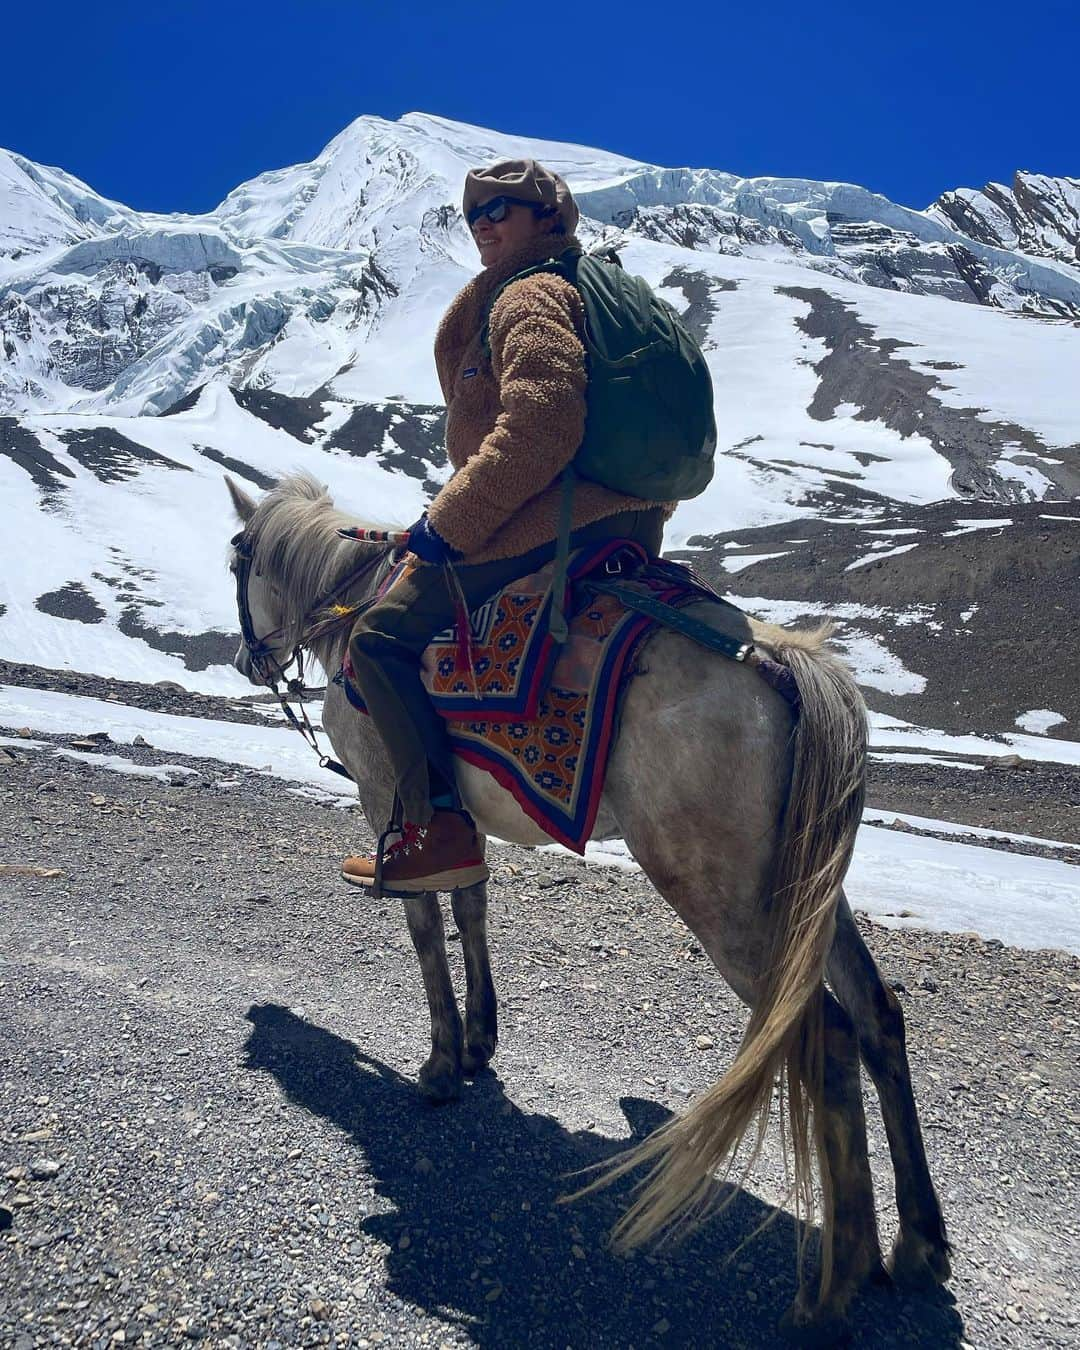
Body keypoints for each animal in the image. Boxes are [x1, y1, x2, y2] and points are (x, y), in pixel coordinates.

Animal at [225, 475, 945, 1339]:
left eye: (234, 561)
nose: (247, 658)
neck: (354, 608)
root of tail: (786, 664)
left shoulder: (388, 799)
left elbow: (426, 928)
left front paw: (440, 1067)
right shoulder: (461, 825)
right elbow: (470, 911)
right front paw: (480, 1041)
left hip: (728, 904)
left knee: (826, 1038)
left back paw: (834, 1288)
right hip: (807, 894)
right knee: (877, 1014)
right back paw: (916, 1246)